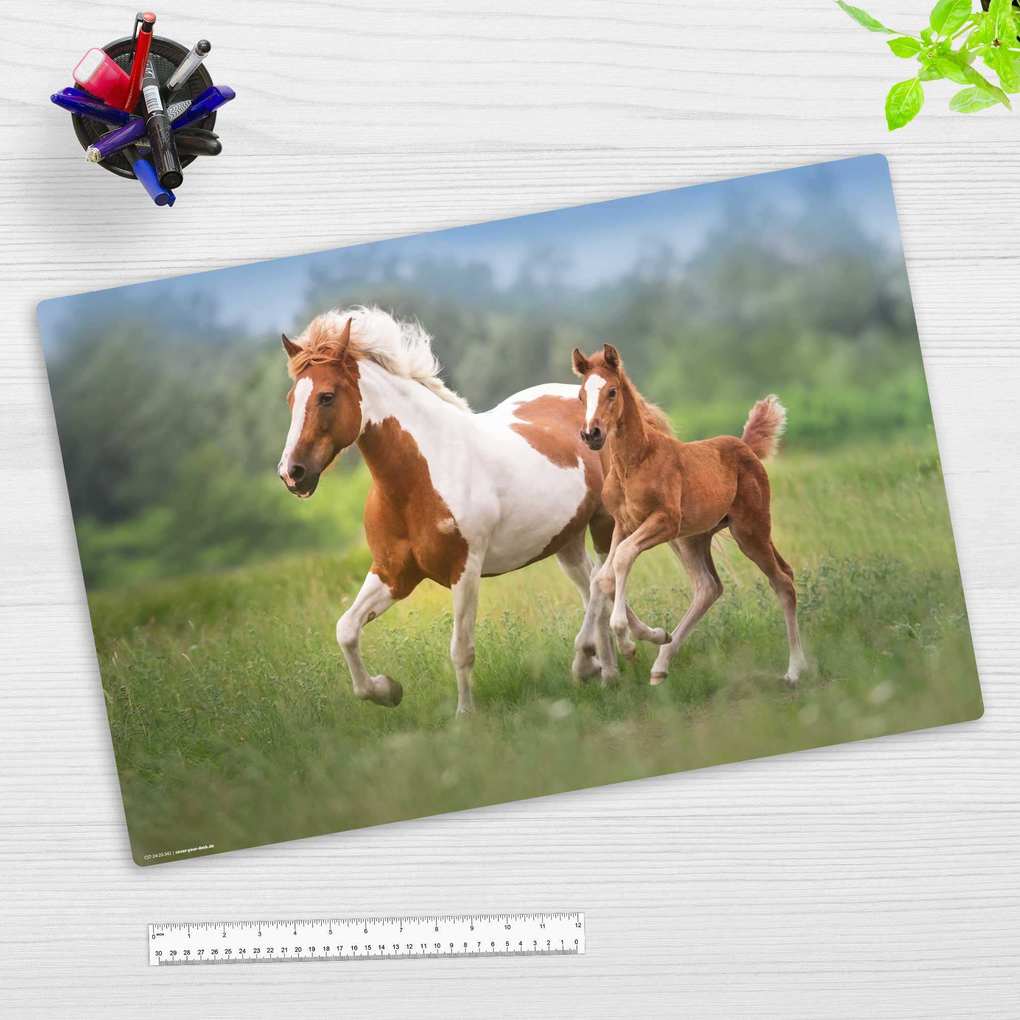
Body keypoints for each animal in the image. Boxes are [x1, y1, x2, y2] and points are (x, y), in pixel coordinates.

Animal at [276, 306, 666, 715]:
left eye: (326, 396)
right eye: (290, 398)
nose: (292, 473)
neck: (422, 475)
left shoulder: (464, 570)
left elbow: (461, 649)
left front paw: (465, 716)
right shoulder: (393, 573)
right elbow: (346, 630)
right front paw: (387, 690)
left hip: (604, 524)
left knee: (602, 584)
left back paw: (601, 659)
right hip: (566, 539)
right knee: (592, 586)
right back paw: (607, 667)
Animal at [570, 343, 807, 687]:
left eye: (612, 391)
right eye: (580, 396)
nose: (591, 434)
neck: (635, 462)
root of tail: (745, 447)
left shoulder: (665, 521)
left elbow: (623, 558)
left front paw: (626, 640)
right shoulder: (624, 524)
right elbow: (603, 577)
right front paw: (650, 635)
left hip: (749, 530)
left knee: (783, 582)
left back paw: (795, 669)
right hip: (695, 538)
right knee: (710, 587)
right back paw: (661, 664)